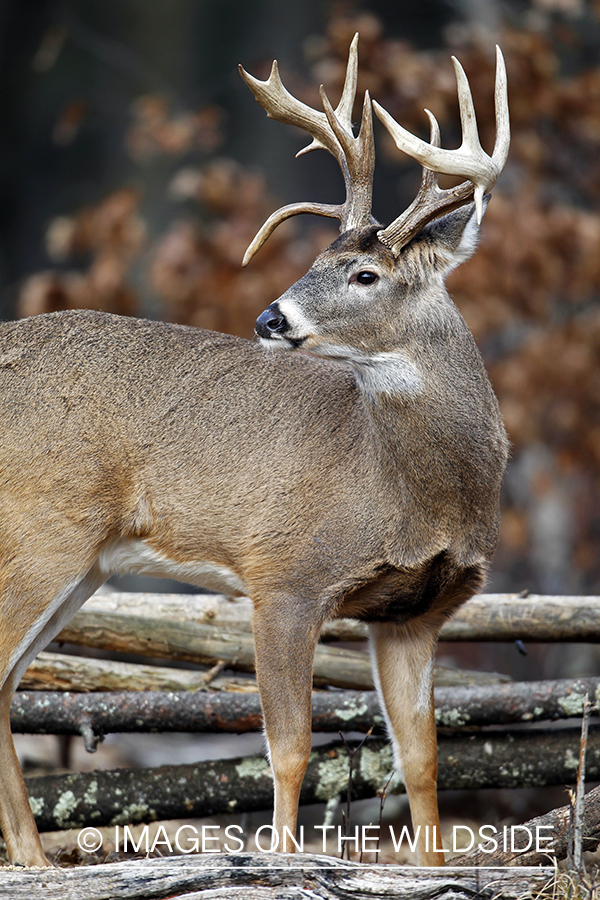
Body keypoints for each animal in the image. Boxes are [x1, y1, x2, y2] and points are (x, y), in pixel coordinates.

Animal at [0, 35, 508, 864]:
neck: (406, 491)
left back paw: (38, 861)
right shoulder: (284, 577)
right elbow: (289, 748)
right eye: (317, 260)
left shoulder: (416, 614)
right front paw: (281, 862)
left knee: (8, 683)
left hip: (84, 562)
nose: (272, 316)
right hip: (43, 532)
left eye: (364, 273)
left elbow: (423, 759)